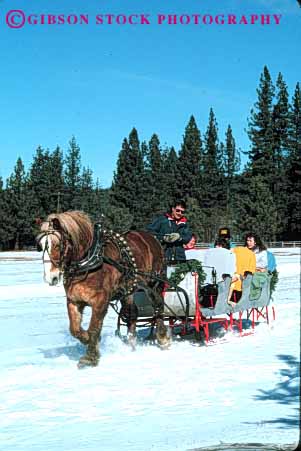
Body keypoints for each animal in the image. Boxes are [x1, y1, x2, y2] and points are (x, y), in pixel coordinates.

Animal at [36, 211, 169, 368]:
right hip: (128, 290)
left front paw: (90, 356)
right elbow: (75, 329)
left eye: (57, 245)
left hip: (155, 283)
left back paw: (163, 338)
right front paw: (87, 340)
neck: (88, 261)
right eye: (40, 246)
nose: (50, 277)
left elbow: (94, 328)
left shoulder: (100, 301)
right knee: (132, 314)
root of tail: (152, 238)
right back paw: (130, 346)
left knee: (158, 306)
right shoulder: (74, 300)